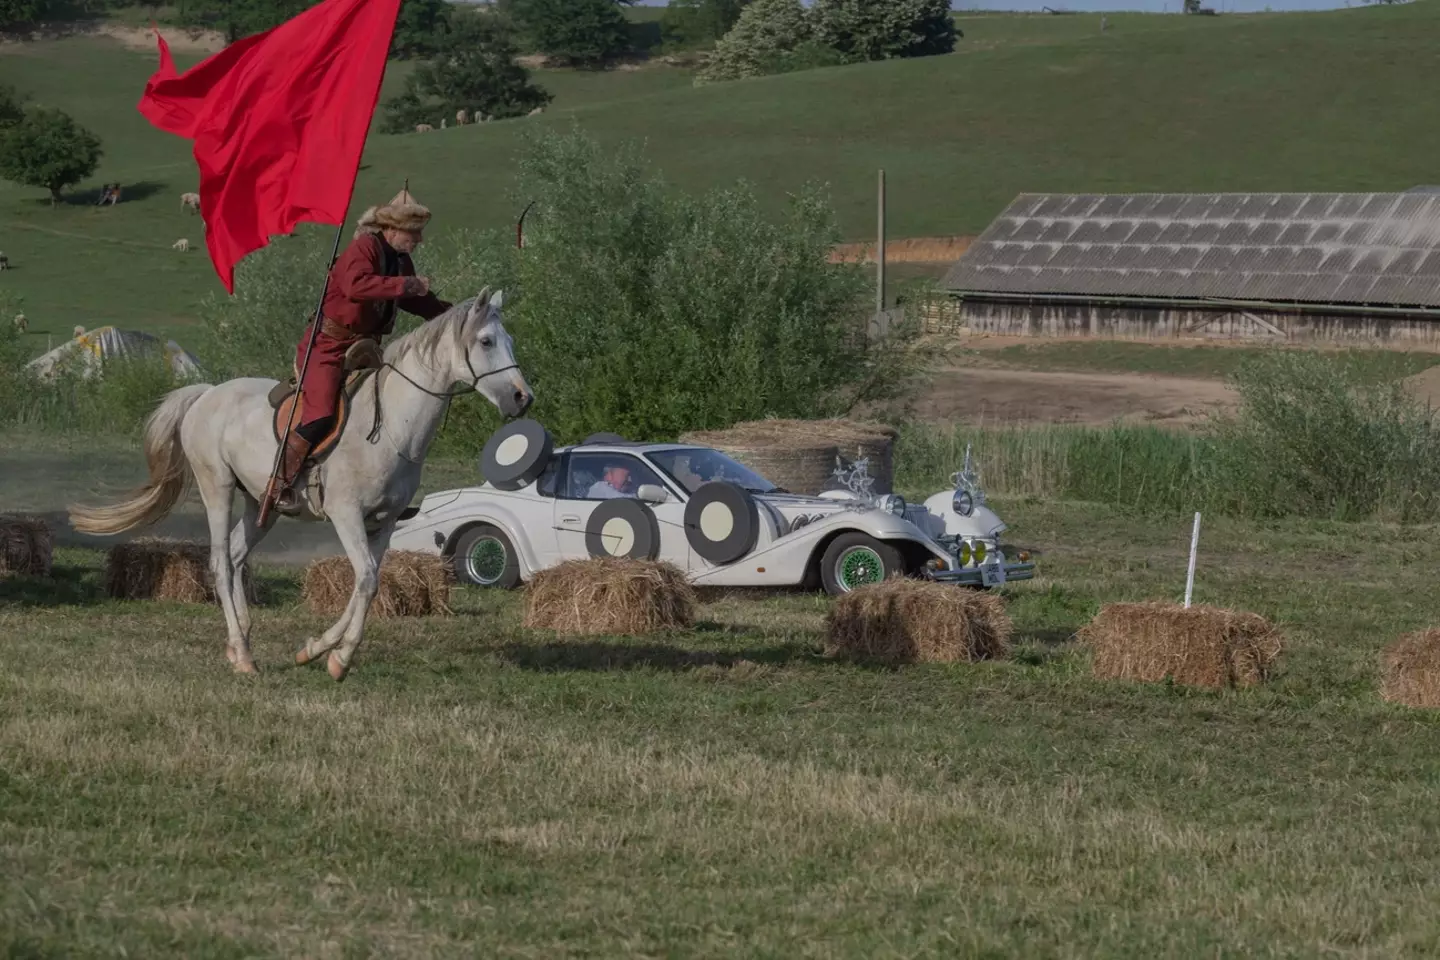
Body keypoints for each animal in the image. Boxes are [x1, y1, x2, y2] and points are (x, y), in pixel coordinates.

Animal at [67, 289, 529, 679]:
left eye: (509, 338)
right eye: (486, 341)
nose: (523, 398)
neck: (391, 426)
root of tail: (206, 394)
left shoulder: (383, 522)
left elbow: (368, 581)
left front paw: (318, 649)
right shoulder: (346, 515)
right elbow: (365, 579)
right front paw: (339, 658)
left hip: (262, 505)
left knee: (237, 556)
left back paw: (242, 643)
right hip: (217, 488)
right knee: (220, 562)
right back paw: (242, 653)